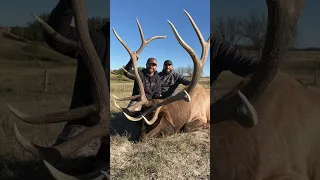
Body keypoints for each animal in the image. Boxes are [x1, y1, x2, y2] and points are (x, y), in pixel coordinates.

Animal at [113, 9, 212, 141]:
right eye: (140, 122)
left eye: (154, 121)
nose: (140, 139)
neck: (185, 111)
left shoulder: (201, 117)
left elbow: (186, 127)